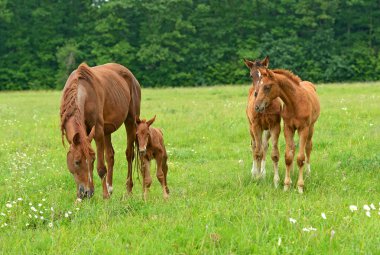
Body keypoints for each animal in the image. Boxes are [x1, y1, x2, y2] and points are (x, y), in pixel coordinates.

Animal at [60, 61, 140, 199]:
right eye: (77, 162)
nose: (85, 192)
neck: (83, 91)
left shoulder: (97, 131)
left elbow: (101, 167)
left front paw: (105, 196)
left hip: (130, 120)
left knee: (130, 154)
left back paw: (128, 190)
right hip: (107, 130)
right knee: (110, 155)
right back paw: (110, 187)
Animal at [243, 56, 282, 186]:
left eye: (266, 74)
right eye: (251, 75)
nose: (256, 94)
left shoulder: (274, 125)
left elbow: (270, 151)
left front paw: (269, 178)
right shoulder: (255, 126)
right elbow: (257, 151)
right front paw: (257, 177)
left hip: (266, 130)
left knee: (264, 146)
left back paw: (262, 172)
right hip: (251, 127)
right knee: (254, 146)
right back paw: (255, 172)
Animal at [254, 58, 320, 193]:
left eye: (267, 87)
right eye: (258, 86)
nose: (257, 107)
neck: (295, 103)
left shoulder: (303, 129)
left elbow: (300, 158)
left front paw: (300, 187)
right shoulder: (288, 128)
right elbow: (288, 157)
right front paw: (286, 185)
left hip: (311, 128)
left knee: (308, 148)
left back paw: (308, 173)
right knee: (294, 148)